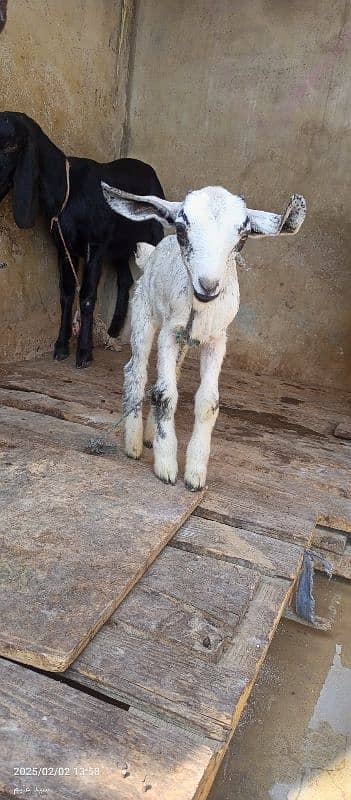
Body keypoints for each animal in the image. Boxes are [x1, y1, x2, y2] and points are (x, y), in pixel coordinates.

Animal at [0, 113, 164, 368]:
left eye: (11, 145)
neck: (67, 190)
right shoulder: (64, 246)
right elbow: (67, 293)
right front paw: (61, 347)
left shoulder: (94, 245)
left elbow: (87, 295)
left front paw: (84, 352)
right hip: (118, 245)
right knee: (125, 279)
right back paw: (114, 330)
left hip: (153, 234)